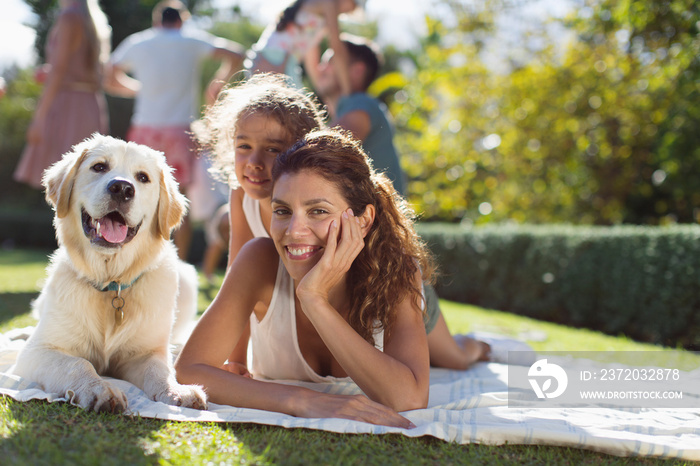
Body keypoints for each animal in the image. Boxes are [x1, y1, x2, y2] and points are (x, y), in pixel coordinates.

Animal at [13, 133, 206, 414]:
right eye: (99, 167)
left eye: (143, 177)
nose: (122, 188)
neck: (111, 282)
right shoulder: (37, 351)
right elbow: (78, 364)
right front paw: (98, 389)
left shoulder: (144, 353)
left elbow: (160, 369)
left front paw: (176, 390)